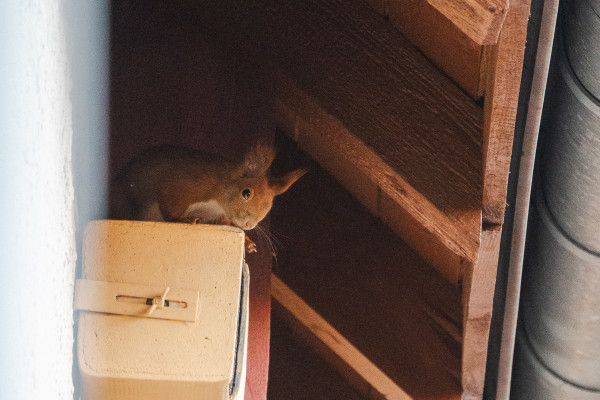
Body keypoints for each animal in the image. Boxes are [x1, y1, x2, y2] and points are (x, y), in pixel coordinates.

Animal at [109, 142, 304, 252]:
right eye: (246, 193)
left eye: (269, 205)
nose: (249, 225)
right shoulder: (181, 185)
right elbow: (170, 206)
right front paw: (183, 219)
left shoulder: (217, 216)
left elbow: (225, 223)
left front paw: (248, 243)